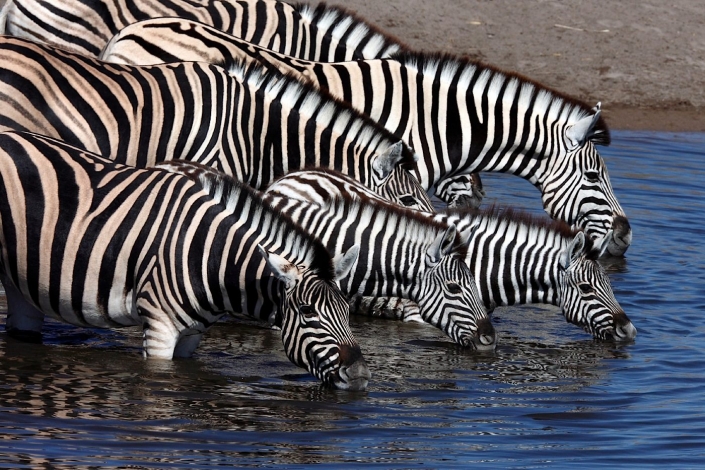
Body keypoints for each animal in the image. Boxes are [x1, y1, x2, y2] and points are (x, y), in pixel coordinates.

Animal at [0, 130, 369, 390]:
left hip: (20, 281)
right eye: (307, 312)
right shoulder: (159, 327)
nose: (361, 375)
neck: (213, 257)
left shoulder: (192, 334)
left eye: (347, 311)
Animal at [266, 168, 637, 341]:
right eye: (587, 289)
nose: (631, 333)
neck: (480, 264)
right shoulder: (419, 309)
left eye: (610, 284)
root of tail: (290, 177)